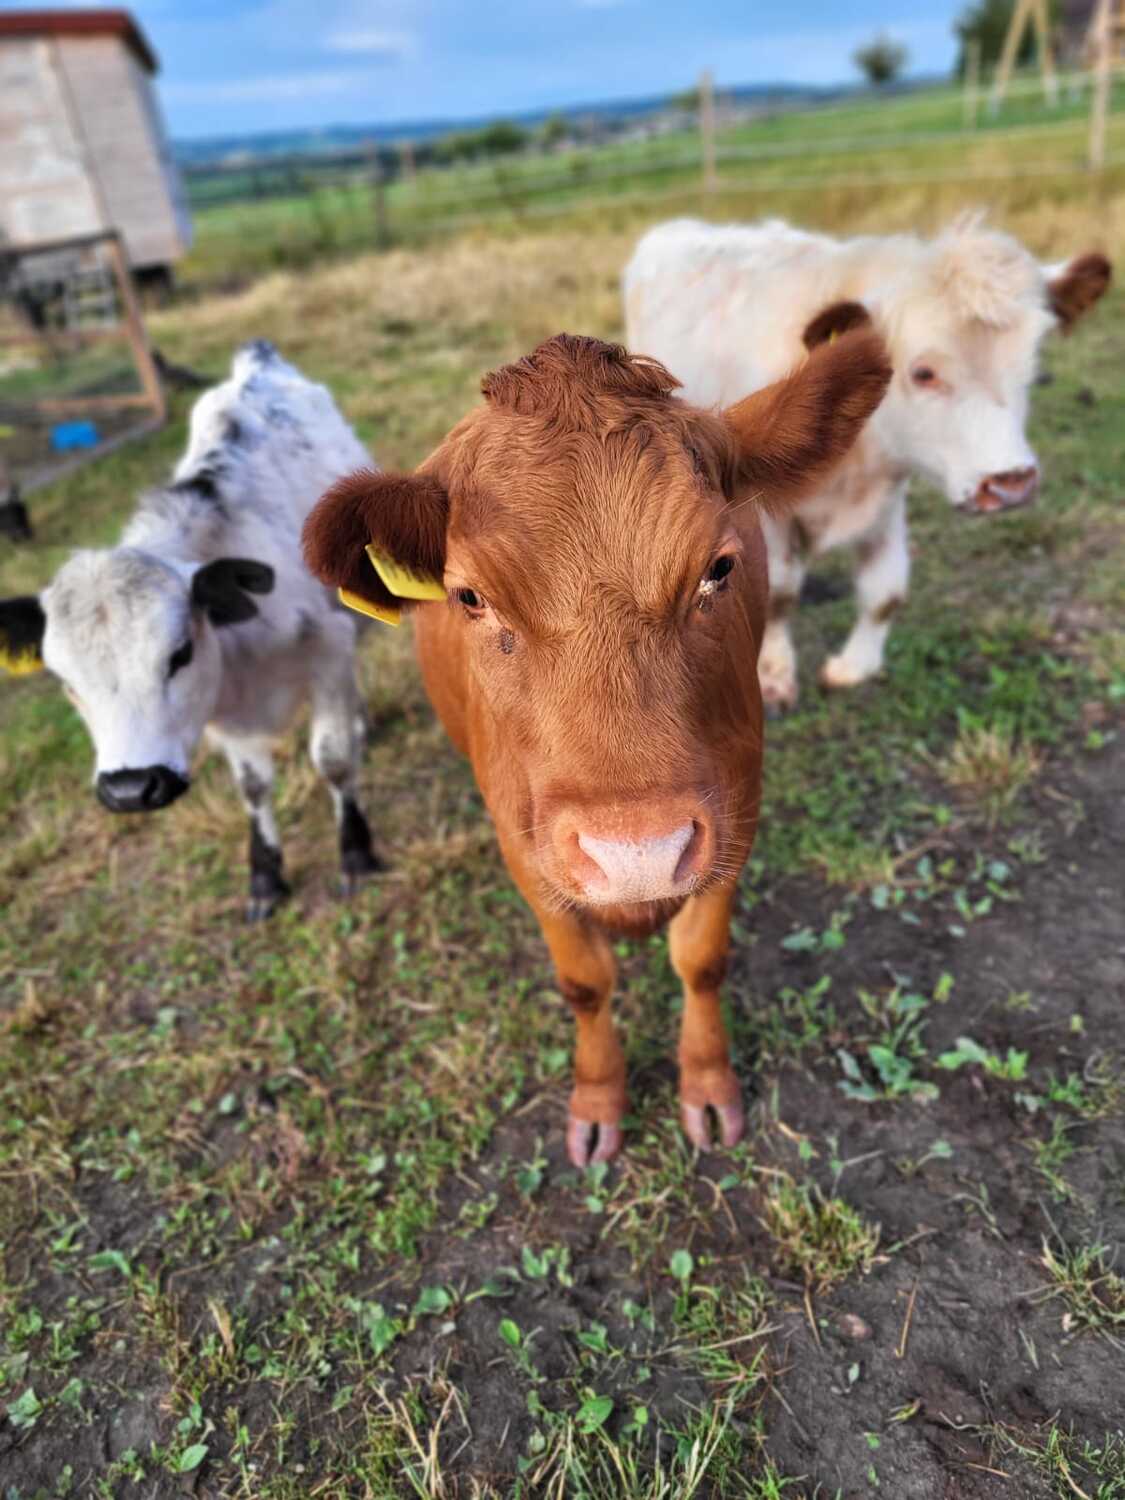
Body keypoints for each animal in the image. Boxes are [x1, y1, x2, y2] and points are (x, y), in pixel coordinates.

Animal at [0, 343, 387, 918]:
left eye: (179, 654)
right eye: (67, 683)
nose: (131, 788)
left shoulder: (328, 648)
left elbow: (334, 760)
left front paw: (356, 853)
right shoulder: (224, 714)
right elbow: (253, 786)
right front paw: (265, 876)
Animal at [304, 334, 894, 1164]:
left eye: (718, 568)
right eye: (470, 597)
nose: (635, 853)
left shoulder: (735, 816)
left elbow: (701, 960)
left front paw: (705, 1084)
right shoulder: (523, 845)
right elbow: (584, 980)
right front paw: (597, 1098)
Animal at [630, 217, 1116, 708]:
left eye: (1033, 365)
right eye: (923, 372)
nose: (1012, 482)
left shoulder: (887, 500)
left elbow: (886, 590)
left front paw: (854, 667)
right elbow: (779, 592)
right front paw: (774, 677)